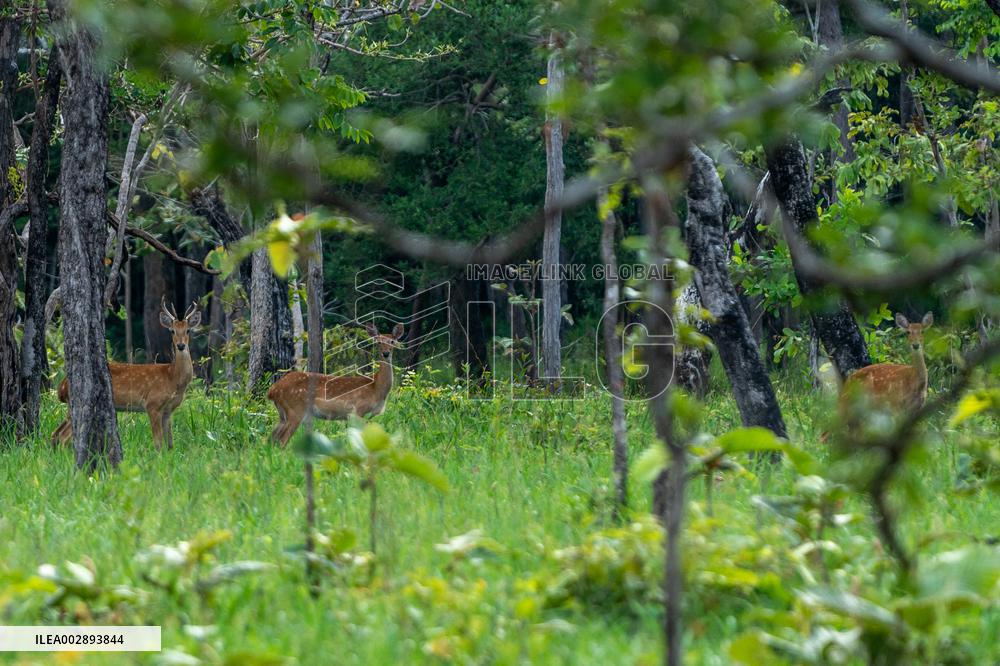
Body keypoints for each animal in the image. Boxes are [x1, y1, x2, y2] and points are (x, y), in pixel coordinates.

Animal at [51, 300, 202, 450]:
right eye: (172, 330)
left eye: (188, 330)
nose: (181, 346)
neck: (173, 378)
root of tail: (61, 387)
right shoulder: (152, 404)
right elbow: (158, 443)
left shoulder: (168, 410)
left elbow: (170, 444)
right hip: (79, 403)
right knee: (63, 436)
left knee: (55, 433)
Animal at [268, 322, 404, 447]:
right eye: (378, 342)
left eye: (392, 341)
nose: (386, 353)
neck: (376, 387)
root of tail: (272, 390)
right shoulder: (358, 409)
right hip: (295, 409)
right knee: (282, 440)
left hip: (283, 414)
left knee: (271, 439)